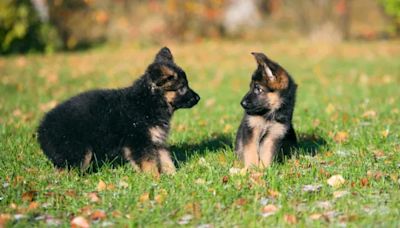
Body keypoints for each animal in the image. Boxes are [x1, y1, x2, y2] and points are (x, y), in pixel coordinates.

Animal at [37, 47, 200, 175]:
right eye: (182, 88)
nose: (198, 98)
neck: (149, 102)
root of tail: (42, 128)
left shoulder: (155, 140)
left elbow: (165, 159)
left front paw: (173, 176)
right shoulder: (139, 141)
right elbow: (149, 163)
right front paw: (155, 178)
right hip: (78, 151)